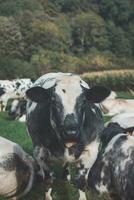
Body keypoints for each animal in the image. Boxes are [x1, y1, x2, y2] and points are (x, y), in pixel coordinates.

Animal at [25, 72, 110, 200]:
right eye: (53, 101)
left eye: (84, 101)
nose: (71, 132)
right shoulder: (39, 150)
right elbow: (48, 180)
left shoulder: (91, 151)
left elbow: (81, 181)